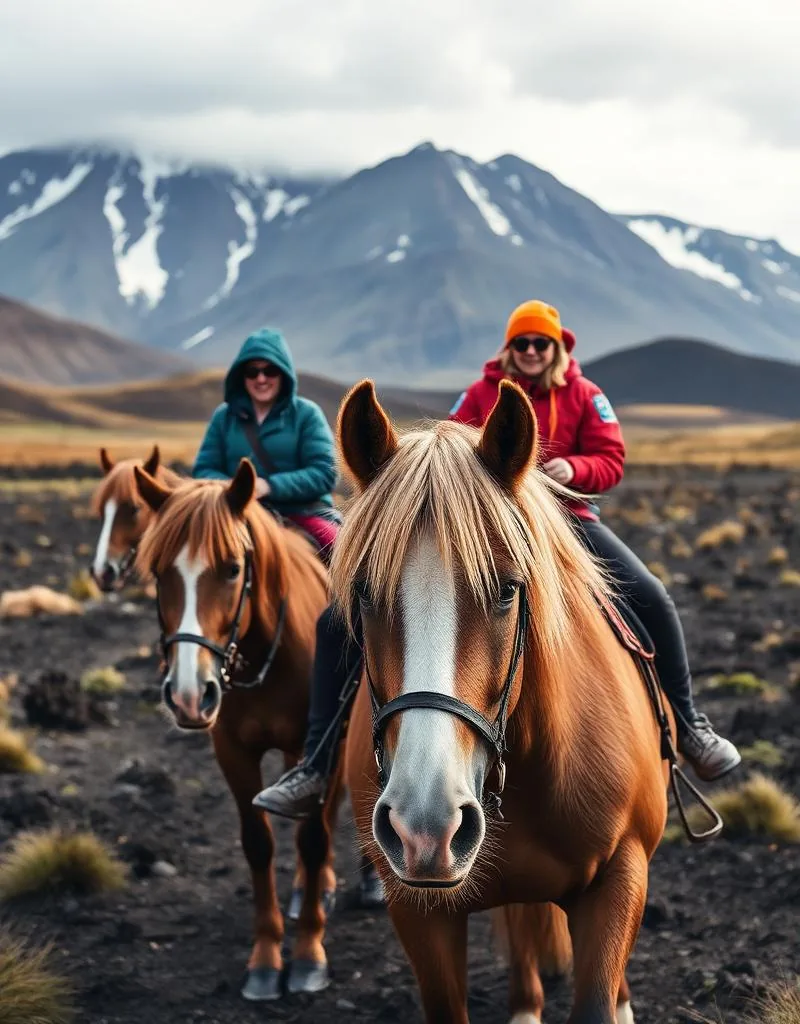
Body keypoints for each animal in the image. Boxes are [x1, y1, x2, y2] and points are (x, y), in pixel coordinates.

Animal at [132, 460, 343, 1001]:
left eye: (231, 568)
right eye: (158, 571)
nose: (189, 694)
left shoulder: (312, 747)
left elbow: (312, 839)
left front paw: (309, 954)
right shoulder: (232, 751)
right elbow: (259, 843)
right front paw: (266, 960)